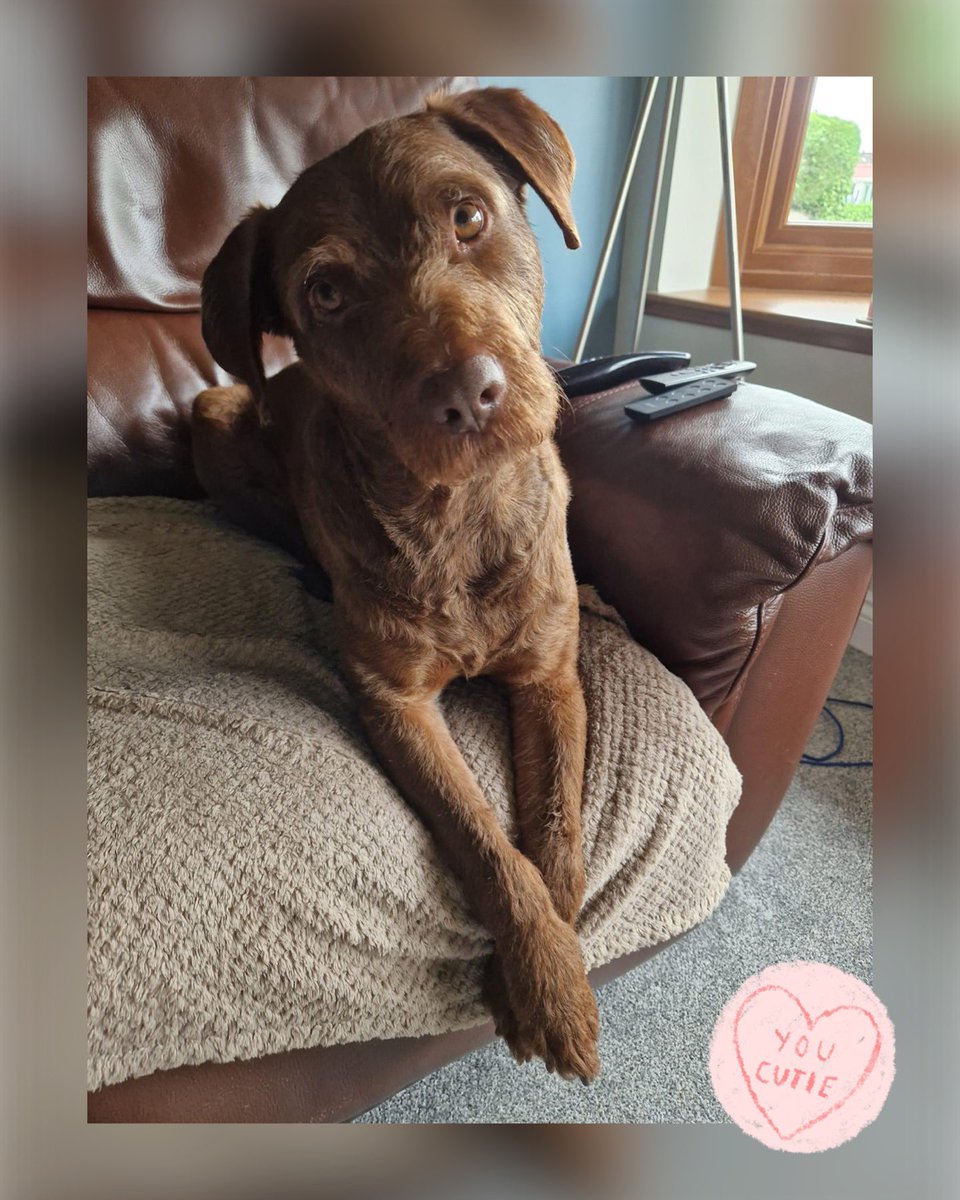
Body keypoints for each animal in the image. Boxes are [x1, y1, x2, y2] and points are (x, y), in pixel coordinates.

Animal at [193, 82, 600, 1080]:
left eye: (469, 218)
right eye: (327, 292)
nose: (468, 393)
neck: (459, 517)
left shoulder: (550, 674)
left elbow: (557, 831)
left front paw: (555, 961)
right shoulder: (395, 702)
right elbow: (486, 842)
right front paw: (543, 975)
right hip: (218, 410)